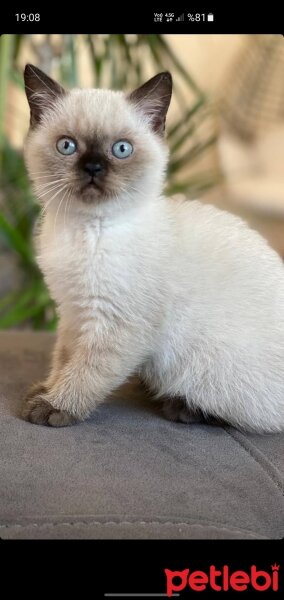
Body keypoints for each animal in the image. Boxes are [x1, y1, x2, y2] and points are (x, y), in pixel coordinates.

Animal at [22, 64, 284, 432]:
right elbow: (64, 358)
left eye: (121, 149)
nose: (93, 168)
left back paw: (182, 406)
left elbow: (86, 372)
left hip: (212, 365)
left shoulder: (117, 326)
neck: (87, 229)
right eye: (67, 146)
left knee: (251, 416)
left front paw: (54, 406)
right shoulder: (73, 312)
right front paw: (45, 390)